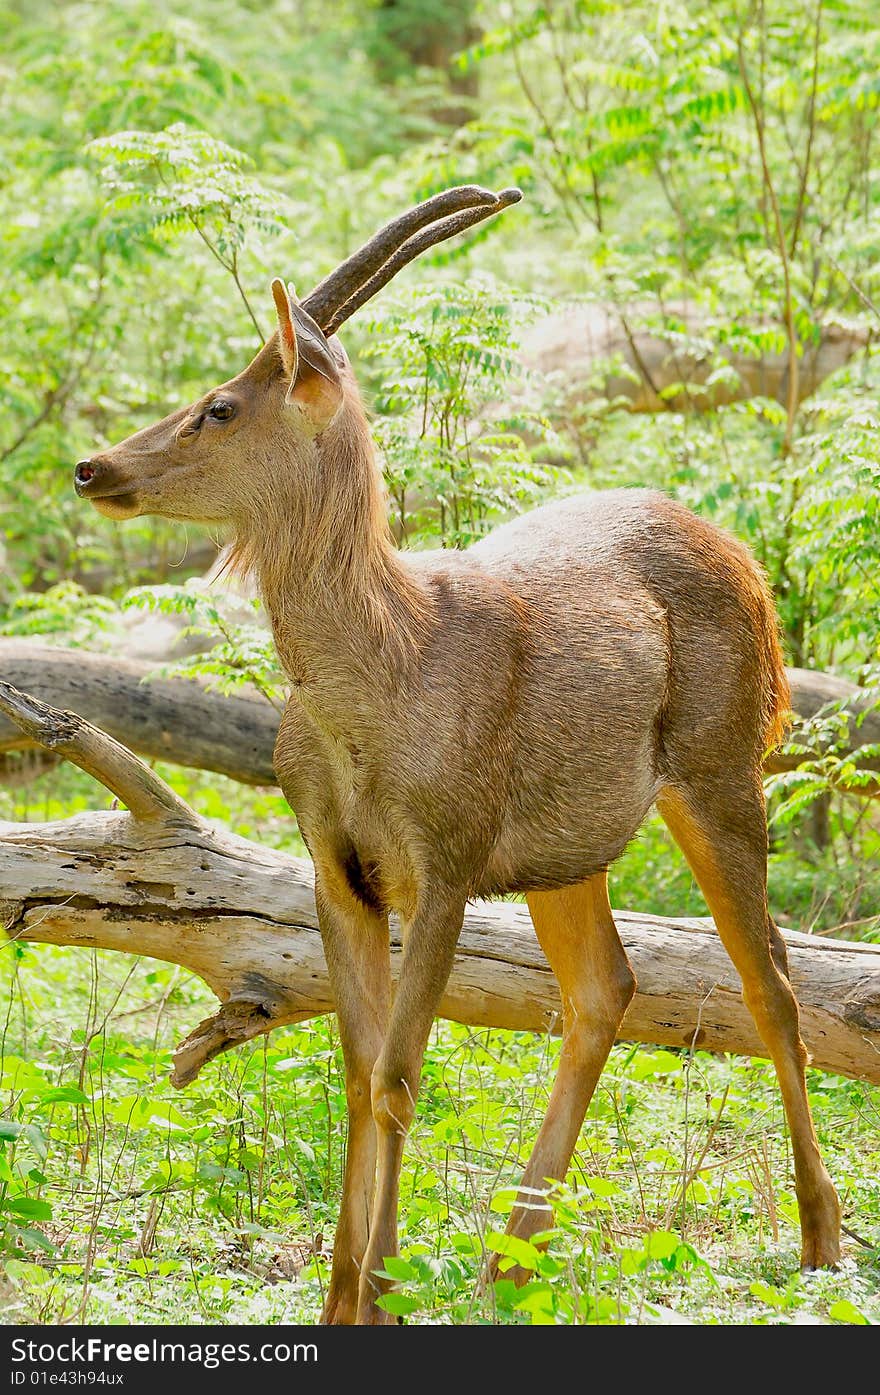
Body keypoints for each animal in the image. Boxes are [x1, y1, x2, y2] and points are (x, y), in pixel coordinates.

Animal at [72, 185, 842, 1316]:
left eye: (219, 405)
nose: (95, 467)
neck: (378, 690)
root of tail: (748, 566)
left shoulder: (448, 852)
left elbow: (399, 1075)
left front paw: (380, 1293)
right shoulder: (336, 866)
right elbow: (358, 1072)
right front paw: (346, 1294)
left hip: (718, 764)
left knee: (771, 984)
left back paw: (820, 1244)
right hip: (570, 844)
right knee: (606, 988)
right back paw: (509, 1259)